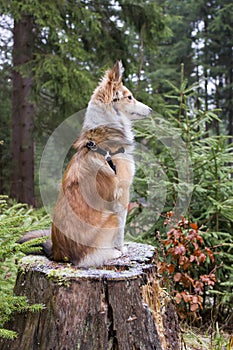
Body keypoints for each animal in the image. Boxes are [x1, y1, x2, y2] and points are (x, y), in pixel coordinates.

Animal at [19, 61, 152, 266]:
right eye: (129, 97)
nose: (151, 110)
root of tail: (59, 254)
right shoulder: (122, 195)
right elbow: (121, 231)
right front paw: (122, 250)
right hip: (110, 219)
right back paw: (113, 254)